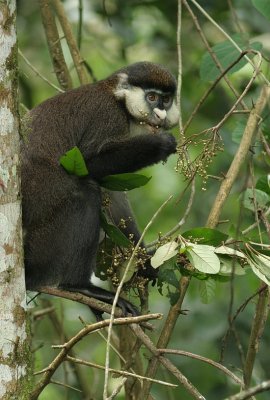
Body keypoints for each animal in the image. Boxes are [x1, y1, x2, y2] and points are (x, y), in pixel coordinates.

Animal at [21, 60, 179, 316]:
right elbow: (87, 162)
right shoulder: (108, 117)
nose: (160, 114)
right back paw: (78, 286)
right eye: (152, 97)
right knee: (84, 194)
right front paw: (160, 144)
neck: (118, 100)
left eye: (166, 100)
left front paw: (144, 263)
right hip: (39, 197)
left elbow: (114, 199)